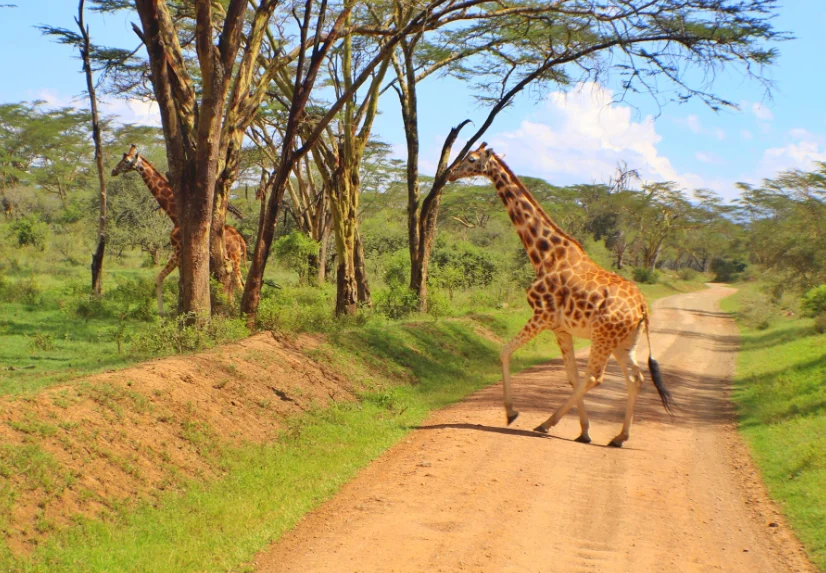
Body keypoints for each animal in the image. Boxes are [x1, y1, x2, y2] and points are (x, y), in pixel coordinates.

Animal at [111, 145, 247, 315]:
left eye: (127, 160)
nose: (113, 170)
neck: (174, 214)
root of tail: (240, 239)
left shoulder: (178, 251)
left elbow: (174, 281)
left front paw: (172, 313)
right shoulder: (178, 253)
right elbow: (162, 279)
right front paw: (168, 313)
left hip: (234, 259)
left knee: (240, 285)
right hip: (235, 260)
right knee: (240, 284)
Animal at [447, 143, 671, 447]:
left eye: (470, 159)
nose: (449, 174)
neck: (545, 255)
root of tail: (642, 307)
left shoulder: (541, 314)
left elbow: (505, 351)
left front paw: (512, 413)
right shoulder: (560, 328)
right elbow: (570, 376)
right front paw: (585, 430)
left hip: (603, 335)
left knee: (596, 378)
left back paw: (546, 422)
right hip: (624, 342)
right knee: (634, 379)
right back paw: (619, 437)